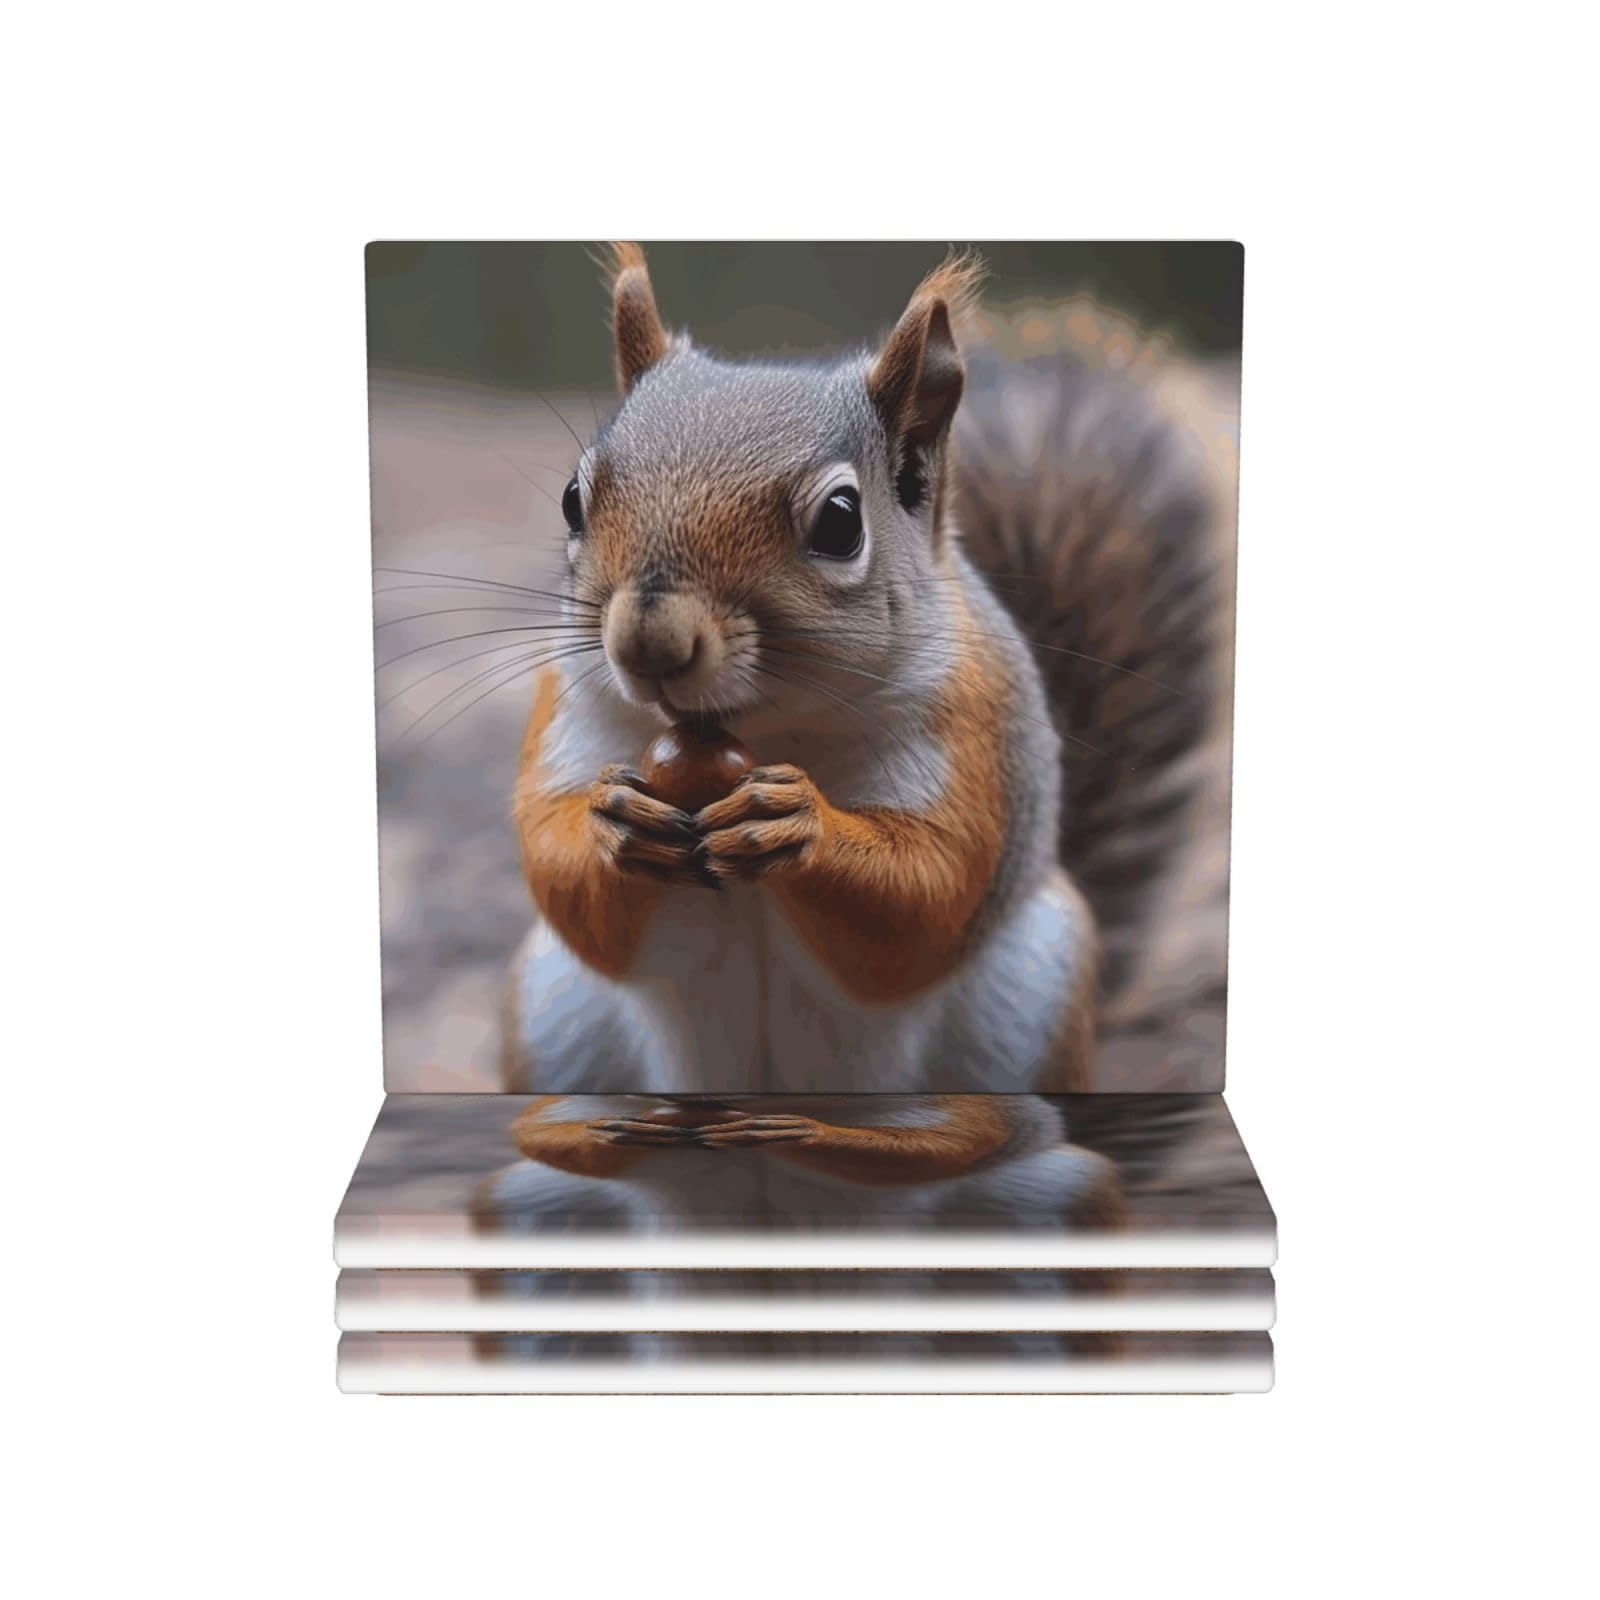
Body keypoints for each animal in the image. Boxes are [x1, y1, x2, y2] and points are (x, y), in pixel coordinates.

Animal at [505, 243, 1232, 1093]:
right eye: (572, 499)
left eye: (840, 522)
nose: (649, 642)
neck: (764, 727)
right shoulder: (570, 713)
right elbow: (556, 870)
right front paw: (610, 822)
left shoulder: (970, 729)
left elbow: (926, 891)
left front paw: (797, 823)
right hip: (554, 1019)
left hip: (1033, 1000)